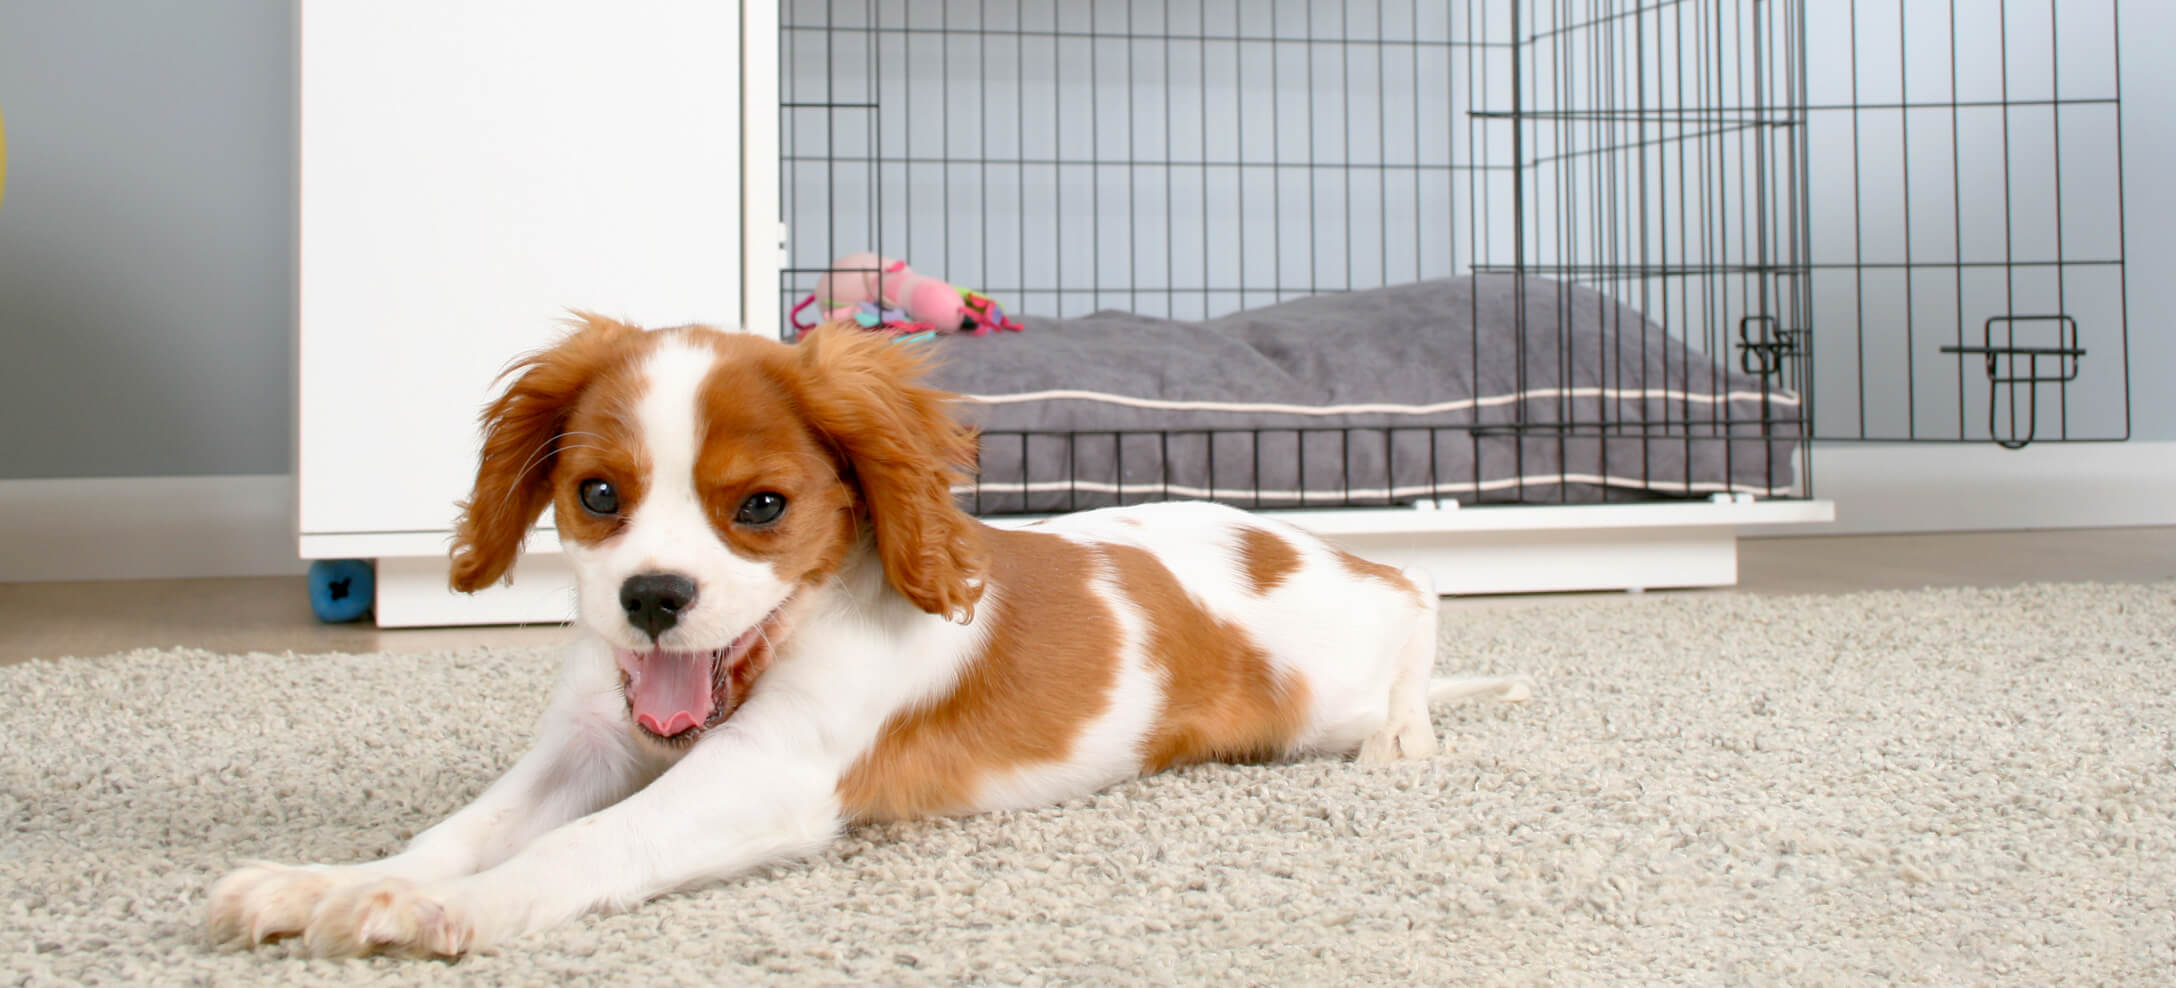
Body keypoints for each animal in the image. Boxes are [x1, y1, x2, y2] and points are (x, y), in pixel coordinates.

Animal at [212, 315, 1523, 957]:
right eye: (597, 494)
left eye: (760, 507)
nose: (651, 597)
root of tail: (1285, 538)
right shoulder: (585, 744)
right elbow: (464, 829)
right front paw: (336, 881)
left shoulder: (767, 777)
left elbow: (585, 845)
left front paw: (446, 914)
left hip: (1326, 683)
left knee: (1419, 593)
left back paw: (1406, 733)